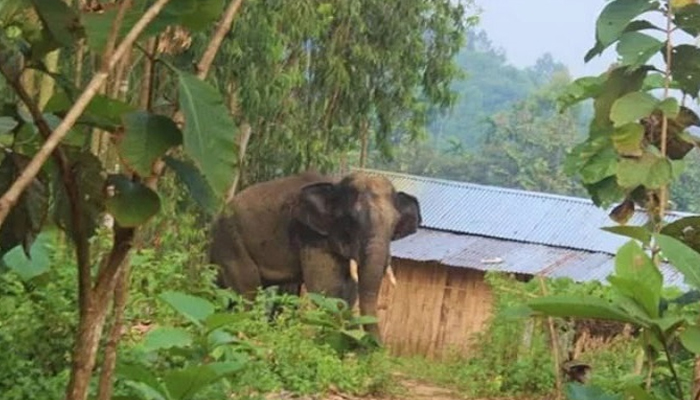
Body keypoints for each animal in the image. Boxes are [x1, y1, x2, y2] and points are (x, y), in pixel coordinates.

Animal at [208, 170, 422, 340]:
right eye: (352, 219)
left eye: (395, 224)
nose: (376, 348)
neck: (335, 184)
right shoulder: (312, 235)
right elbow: (327, 289)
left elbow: (348, 292)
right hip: (230, 241)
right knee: (247, 290)